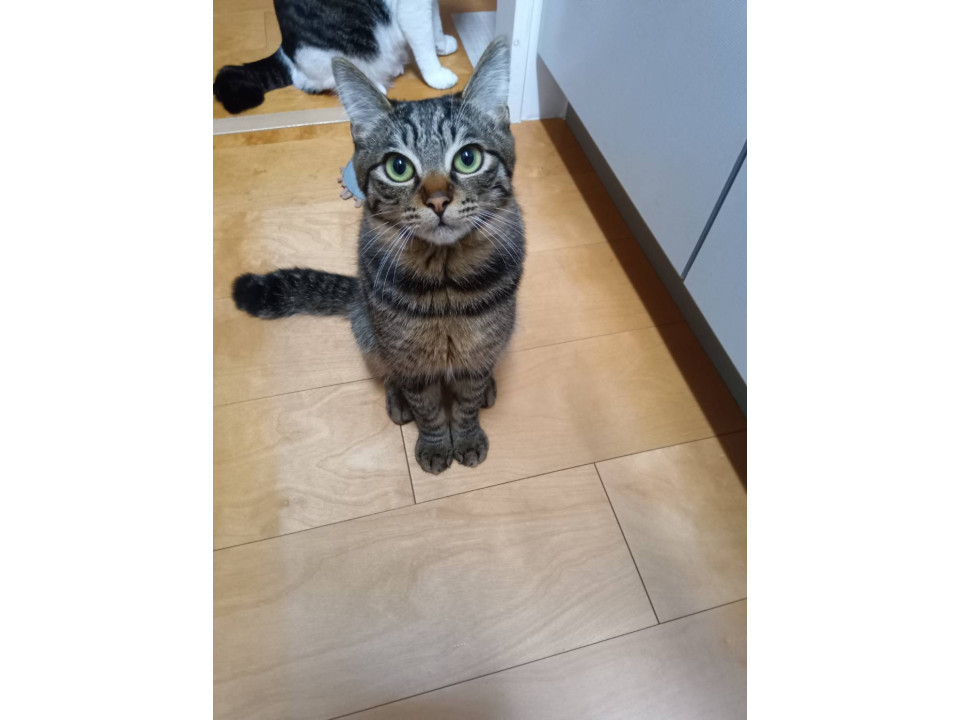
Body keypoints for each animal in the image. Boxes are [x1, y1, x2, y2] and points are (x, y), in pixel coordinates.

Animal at [214, 0, 460, 114]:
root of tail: (285, 51)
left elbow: (435, 23)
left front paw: (441, 44)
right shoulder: (411, 7)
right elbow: (423, 39)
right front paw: (436, 75)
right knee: (314, 82)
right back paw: (372, 83)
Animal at [232, 38, 524, 475]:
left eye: (468, 158)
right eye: (398, 167)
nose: (438, 200)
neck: (445, 280)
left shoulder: (480, 345)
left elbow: (467, 400)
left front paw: (468, 435)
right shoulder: (407, 353)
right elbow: (427, 407)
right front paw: (435, 444)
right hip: (370, 331)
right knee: (387, 372)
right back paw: (398, 400)